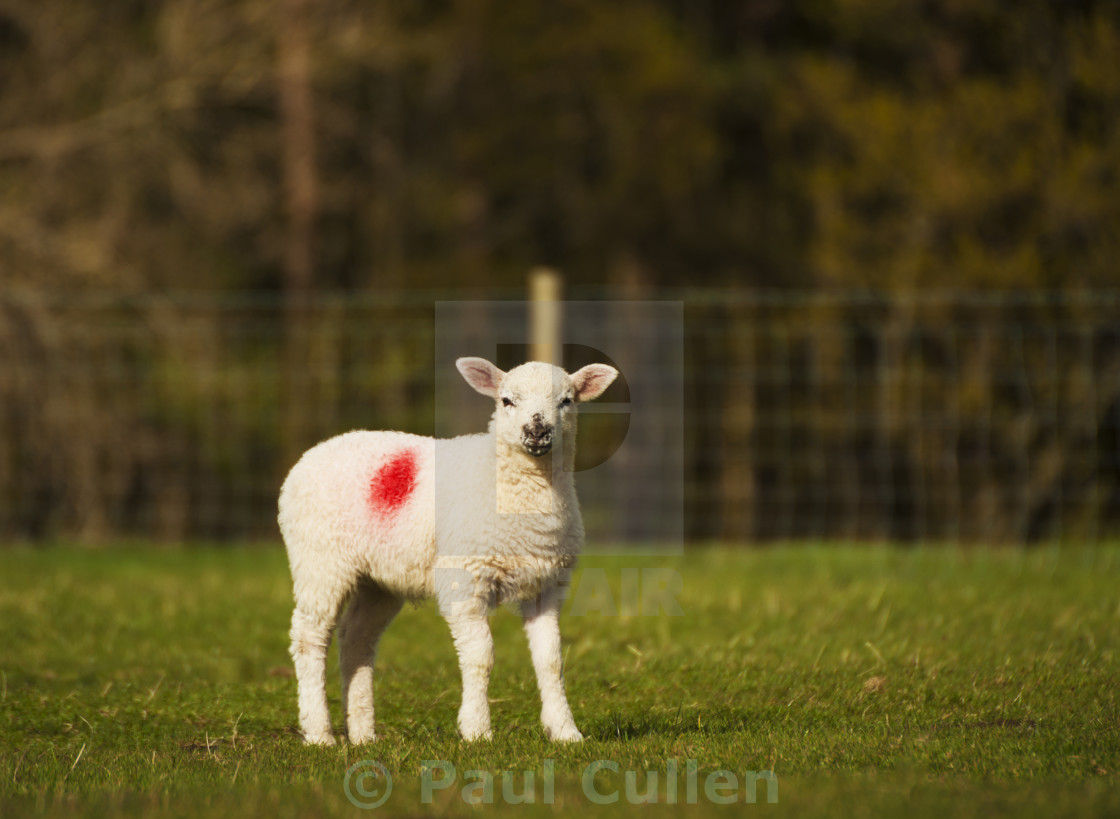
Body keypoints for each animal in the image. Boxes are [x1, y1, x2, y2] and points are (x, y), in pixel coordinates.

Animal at [275, 356, 618, 748]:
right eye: (506, 401)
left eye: (566, 401)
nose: (538, 431)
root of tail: (314, 452)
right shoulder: (465, 577)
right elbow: (480, 656)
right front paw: (477, 731)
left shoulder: (547, 584)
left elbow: (551, 660)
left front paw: (565, 732)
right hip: (320, 560)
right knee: (309, 637)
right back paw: (319, 734)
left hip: (379, 578)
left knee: (356, 638)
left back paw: (363, 734)